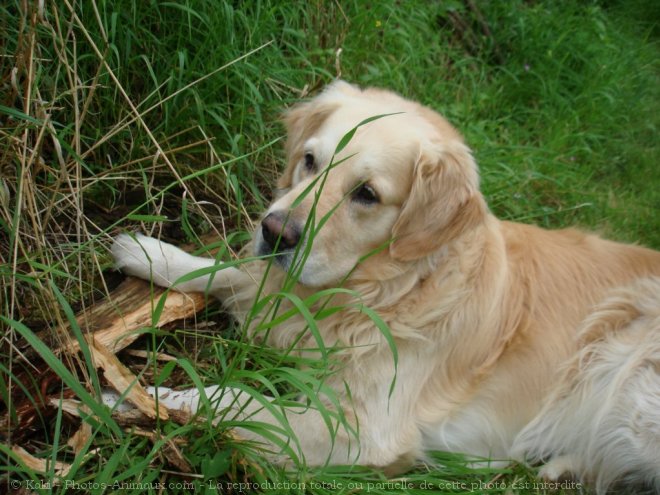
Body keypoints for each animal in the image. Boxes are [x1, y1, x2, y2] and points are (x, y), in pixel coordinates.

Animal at [111, 81, 660, 492]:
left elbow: (239, 399)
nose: (274, 231)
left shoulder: (364, 429)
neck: (382, 292)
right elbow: (224, 271)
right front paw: (150, 253)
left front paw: (147, 397)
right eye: (309, 160)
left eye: (367, 194)